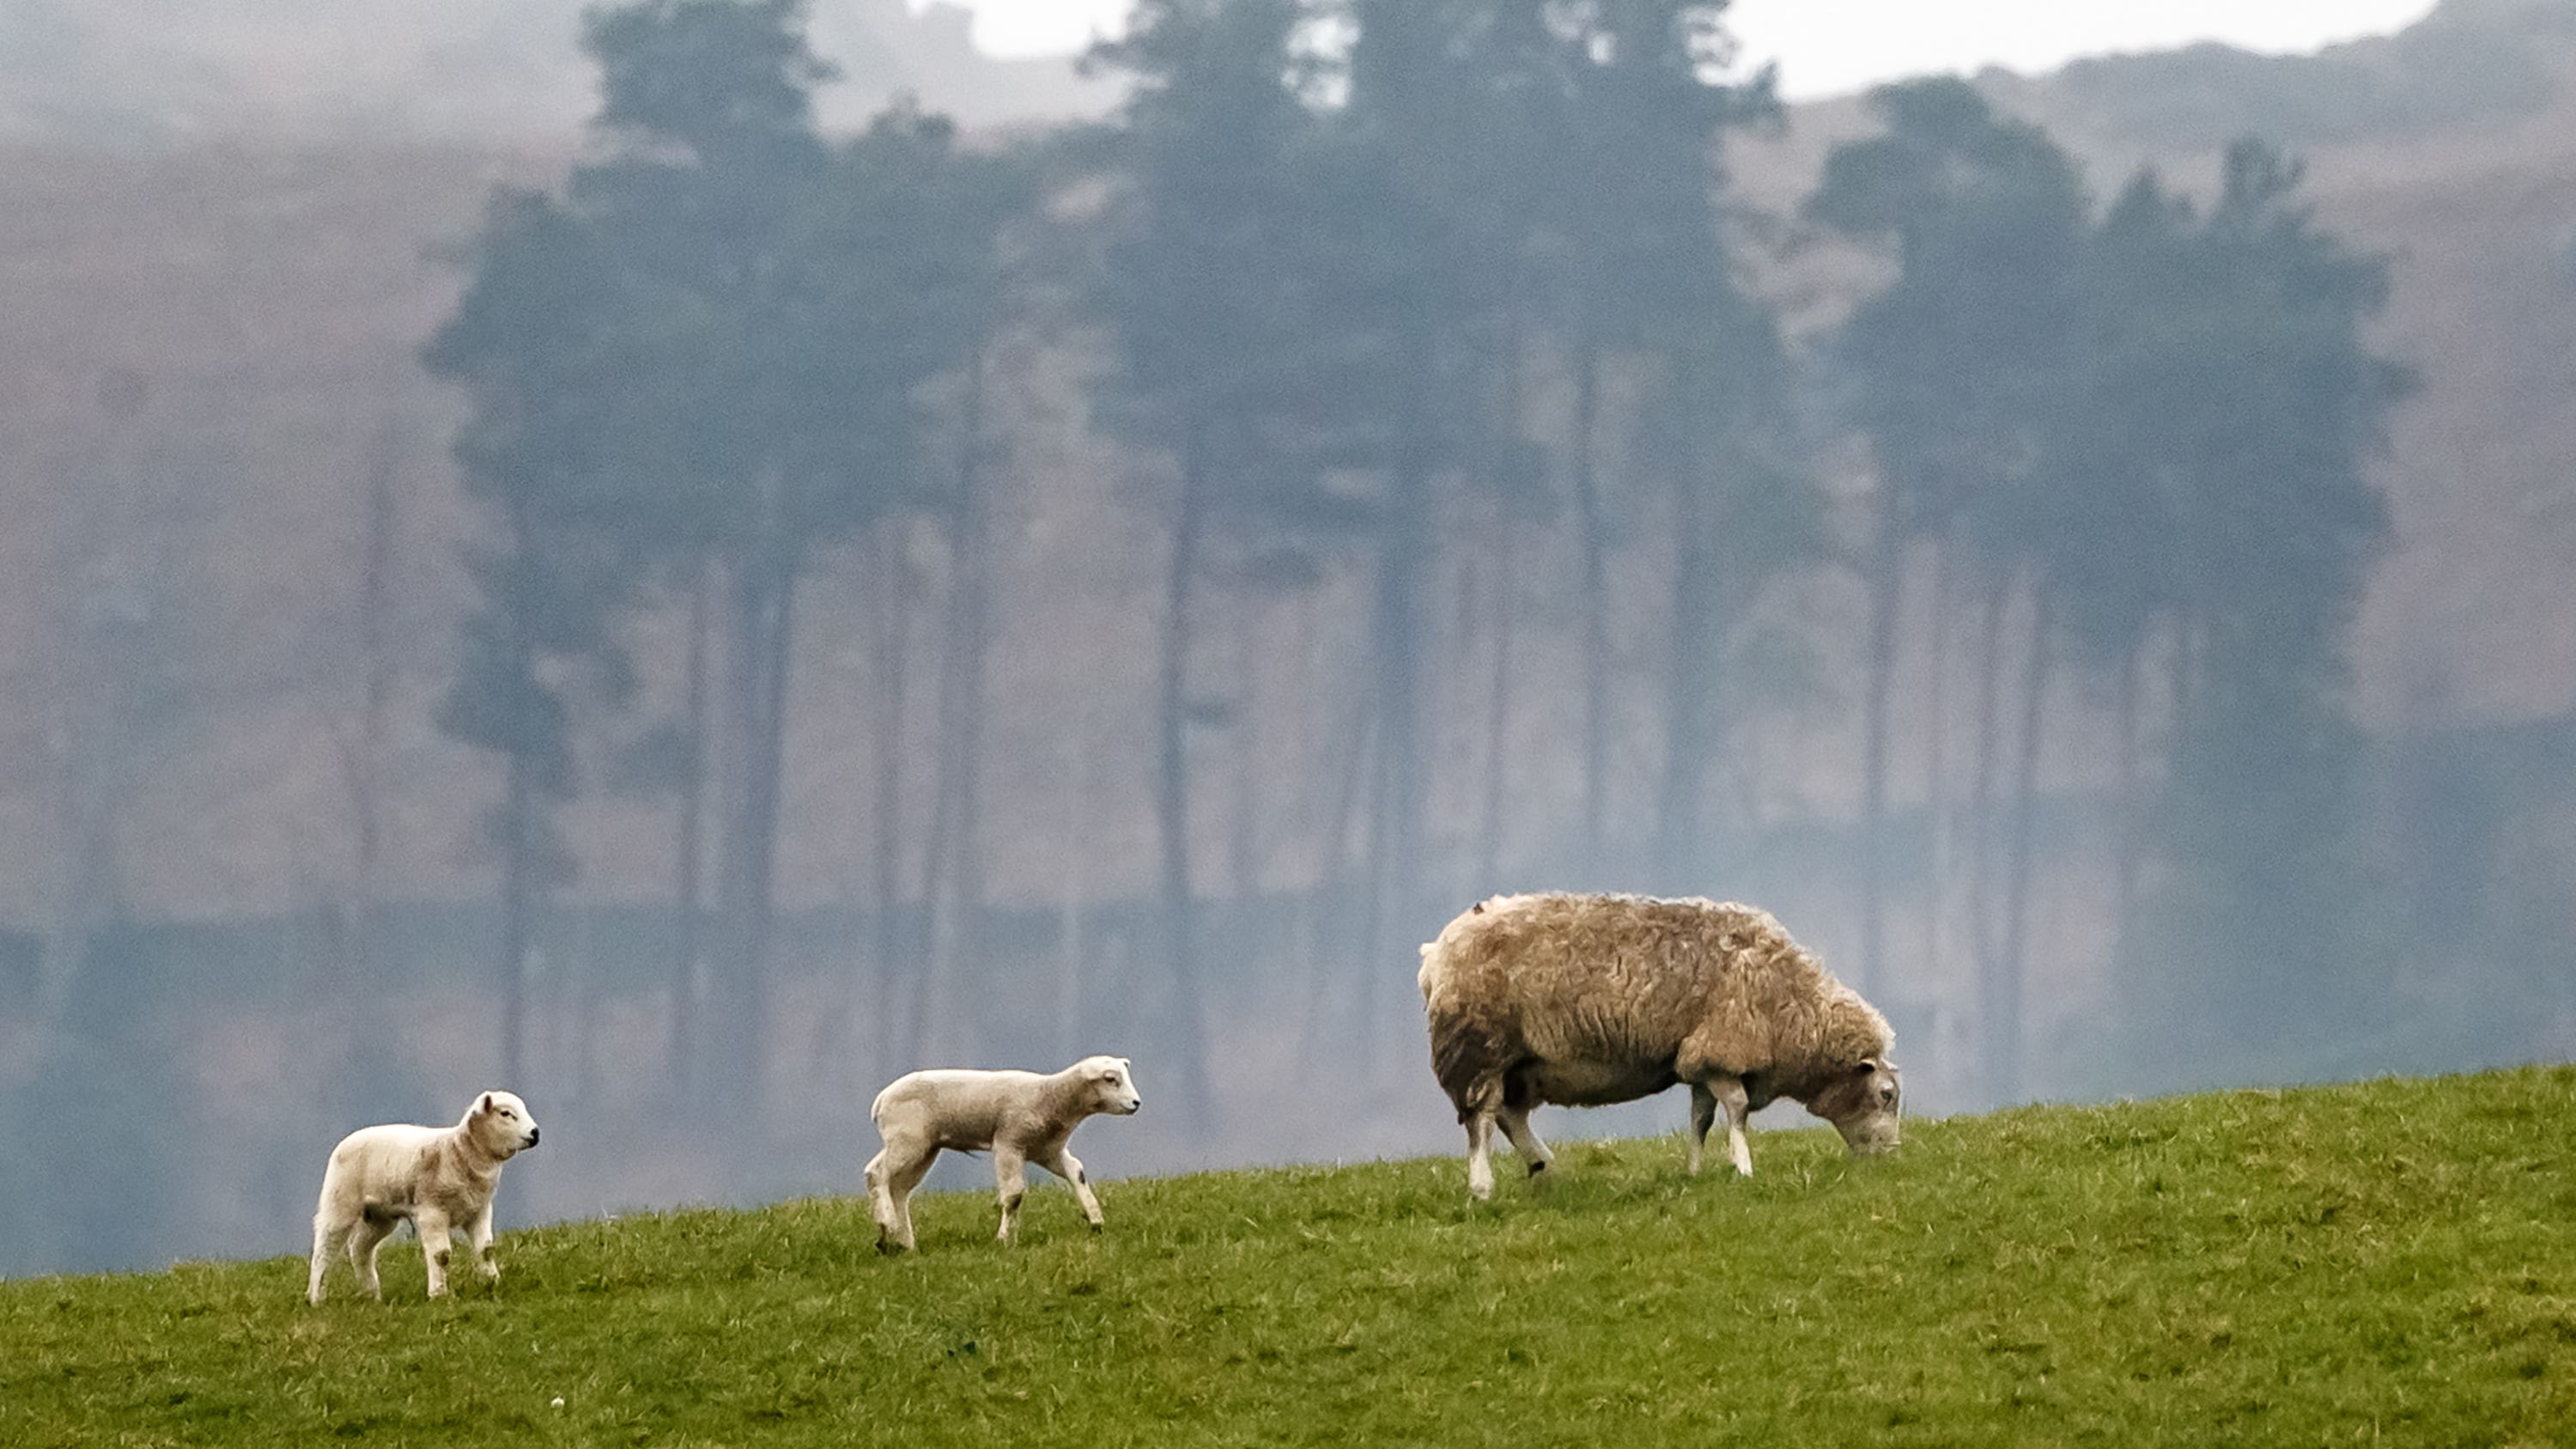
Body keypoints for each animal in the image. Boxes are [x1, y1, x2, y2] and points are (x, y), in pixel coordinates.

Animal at [307, 1087, 538, 1304]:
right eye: (506, 1113)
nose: (535, 1133)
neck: (457, 1153)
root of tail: (347, 1140)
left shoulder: (479, 1210)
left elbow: (486, 1249)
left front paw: (492, 1282)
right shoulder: (432, 1210)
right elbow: (441, 1255)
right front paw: (439, 1294)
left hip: (379, 1216)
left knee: (360, 1249)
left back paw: (371, 1295)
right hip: (340, 1201)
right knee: (324, 1248)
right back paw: (316, 1297)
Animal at [860, 1056, 1144, 1247]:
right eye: (1110, 1079)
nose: (1136, 1103)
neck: (1050, 1097)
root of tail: (880, 1101)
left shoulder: (1047, 1150)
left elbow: (1077, 1172)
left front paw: (1095, 1219)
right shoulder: (1009, 1143)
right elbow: (1014, 1195)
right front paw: (1005, 1239)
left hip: (924, 1147)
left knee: (899, 1189)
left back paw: (901, 1242)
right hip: (907, 1139)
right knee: (876, 1173)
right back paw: (887, 1224)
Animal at [1422, 892, 1906, 1196]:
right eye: (1886, 1095)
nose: (1891, 1155)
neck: (1790, 1005)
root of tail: (1438, 950)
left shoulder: (1699, 1059)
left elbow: (1701, 1118)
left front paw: (1694, 1170)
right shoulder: (1722, 1049)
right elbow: (1737, 1110)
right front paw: (1743, 1167)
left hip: (1523, 1063)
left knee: (1510, 1115)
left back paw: (1543, 1166)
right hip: (1478, 1047)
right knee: (1482, 1119)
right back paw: (1482, 1186)